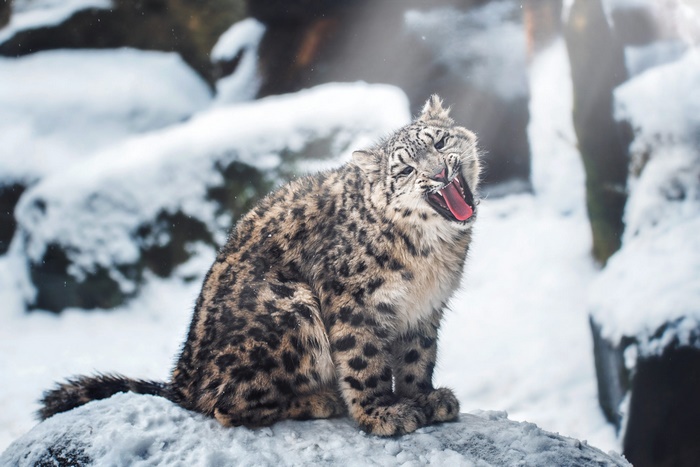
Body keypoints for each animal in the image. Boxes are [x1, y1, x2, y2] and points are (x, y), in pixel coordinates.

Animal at [39, 95, 481, 436]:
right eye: (405, 169)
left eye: (440, 141)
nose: (438, 172)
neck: (431, 256)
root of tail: (182, 379)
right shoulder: (353, 303)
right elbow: (363, 360)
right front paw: (383, 414)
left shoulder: (425, 309)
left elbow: (417, 357)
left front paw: (425, 399)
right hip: (292, 309)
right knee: (226, 404)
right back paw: (321, 400)